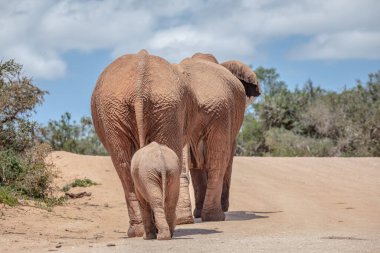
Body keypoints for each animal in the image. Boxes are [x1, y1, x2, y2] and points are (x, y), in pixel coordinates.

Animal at [90, 50, 260, 237]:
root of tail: (139, 87)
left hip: (133, 110)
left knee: (124, 165)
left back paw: (143, 231)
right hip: (147, 107)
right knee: (217, 158)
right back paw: (210, 218)